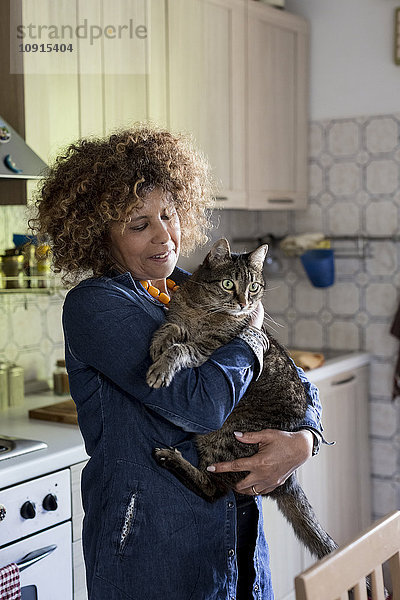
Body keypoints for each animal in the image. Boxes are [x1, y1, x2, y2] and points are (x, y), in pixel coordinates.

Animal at [146, 237, 338, 560]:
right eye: (228, 284)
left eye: (254, 287)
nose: (244, 303)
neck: (202, 310)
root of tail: (287, 481)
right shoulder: (181, 320)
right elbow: (171, 328)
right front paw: (157, 343)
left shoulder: (208, 349)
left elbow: (181, 349)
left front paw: (162, 366)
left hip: (222, 438)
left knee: (214, 488)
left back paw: (170, 458)